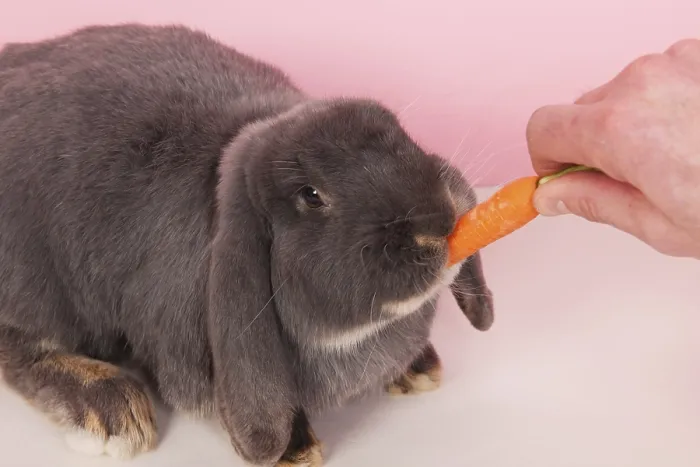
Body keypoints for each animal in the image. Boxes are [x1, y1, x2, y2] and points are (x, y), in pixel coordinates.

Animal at [0, 23, 494, 466]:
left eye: (401, 136)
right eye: (311, 195)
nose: (438, 220)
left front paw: (417, 367)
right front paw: (296, 448)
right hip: (38, 281)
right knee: (18, 345)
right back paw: (113, 410)